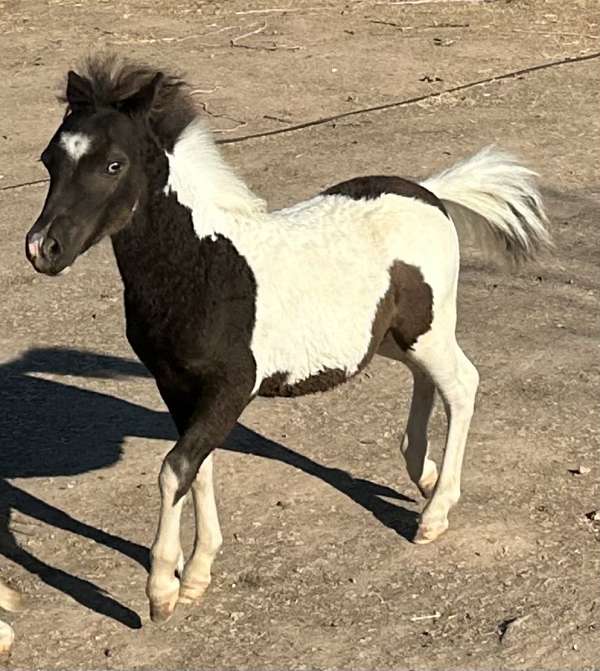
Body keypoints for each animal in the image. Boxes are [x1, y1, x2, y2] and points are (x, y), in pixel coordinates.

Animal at [25, 56, 550, 624]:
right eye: (49, 158)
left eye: (114, 165)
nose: (43, 249)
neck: (203, 267)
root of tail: (430, 193)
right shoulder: (177, 387)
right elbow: (197, 467)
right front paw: (197, 574)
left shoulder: (232, 386)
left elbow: (175, 468)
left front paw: (162, 589)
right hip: (393, 336)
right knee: (427, 381)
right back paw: (423, 473)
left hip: (426, 328)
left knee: (462, 385)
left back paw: (434, 514)